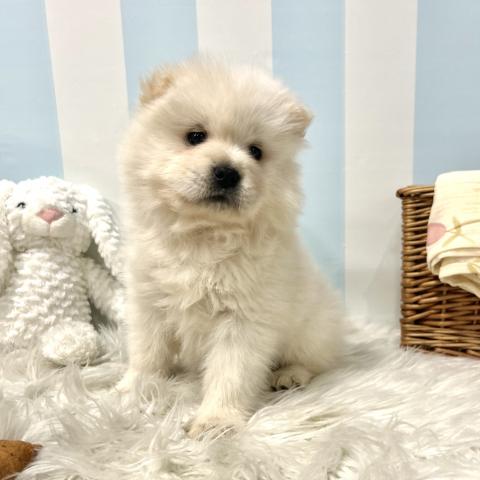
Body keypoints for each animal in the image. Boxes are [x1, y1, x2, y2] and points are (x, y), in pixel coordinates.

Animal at [118, 58, 343, 438]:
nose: (227, 172)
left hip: (311, 331)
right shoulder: (150, 304)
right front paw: (135, 390)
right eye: (195, 137)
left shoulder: (242, 320)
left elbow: (230, 374)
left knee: (314, 361)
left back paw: (289, 374)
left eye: (256, 152)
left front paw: (216, 421)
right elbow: (148, 353)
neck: (203, 234)